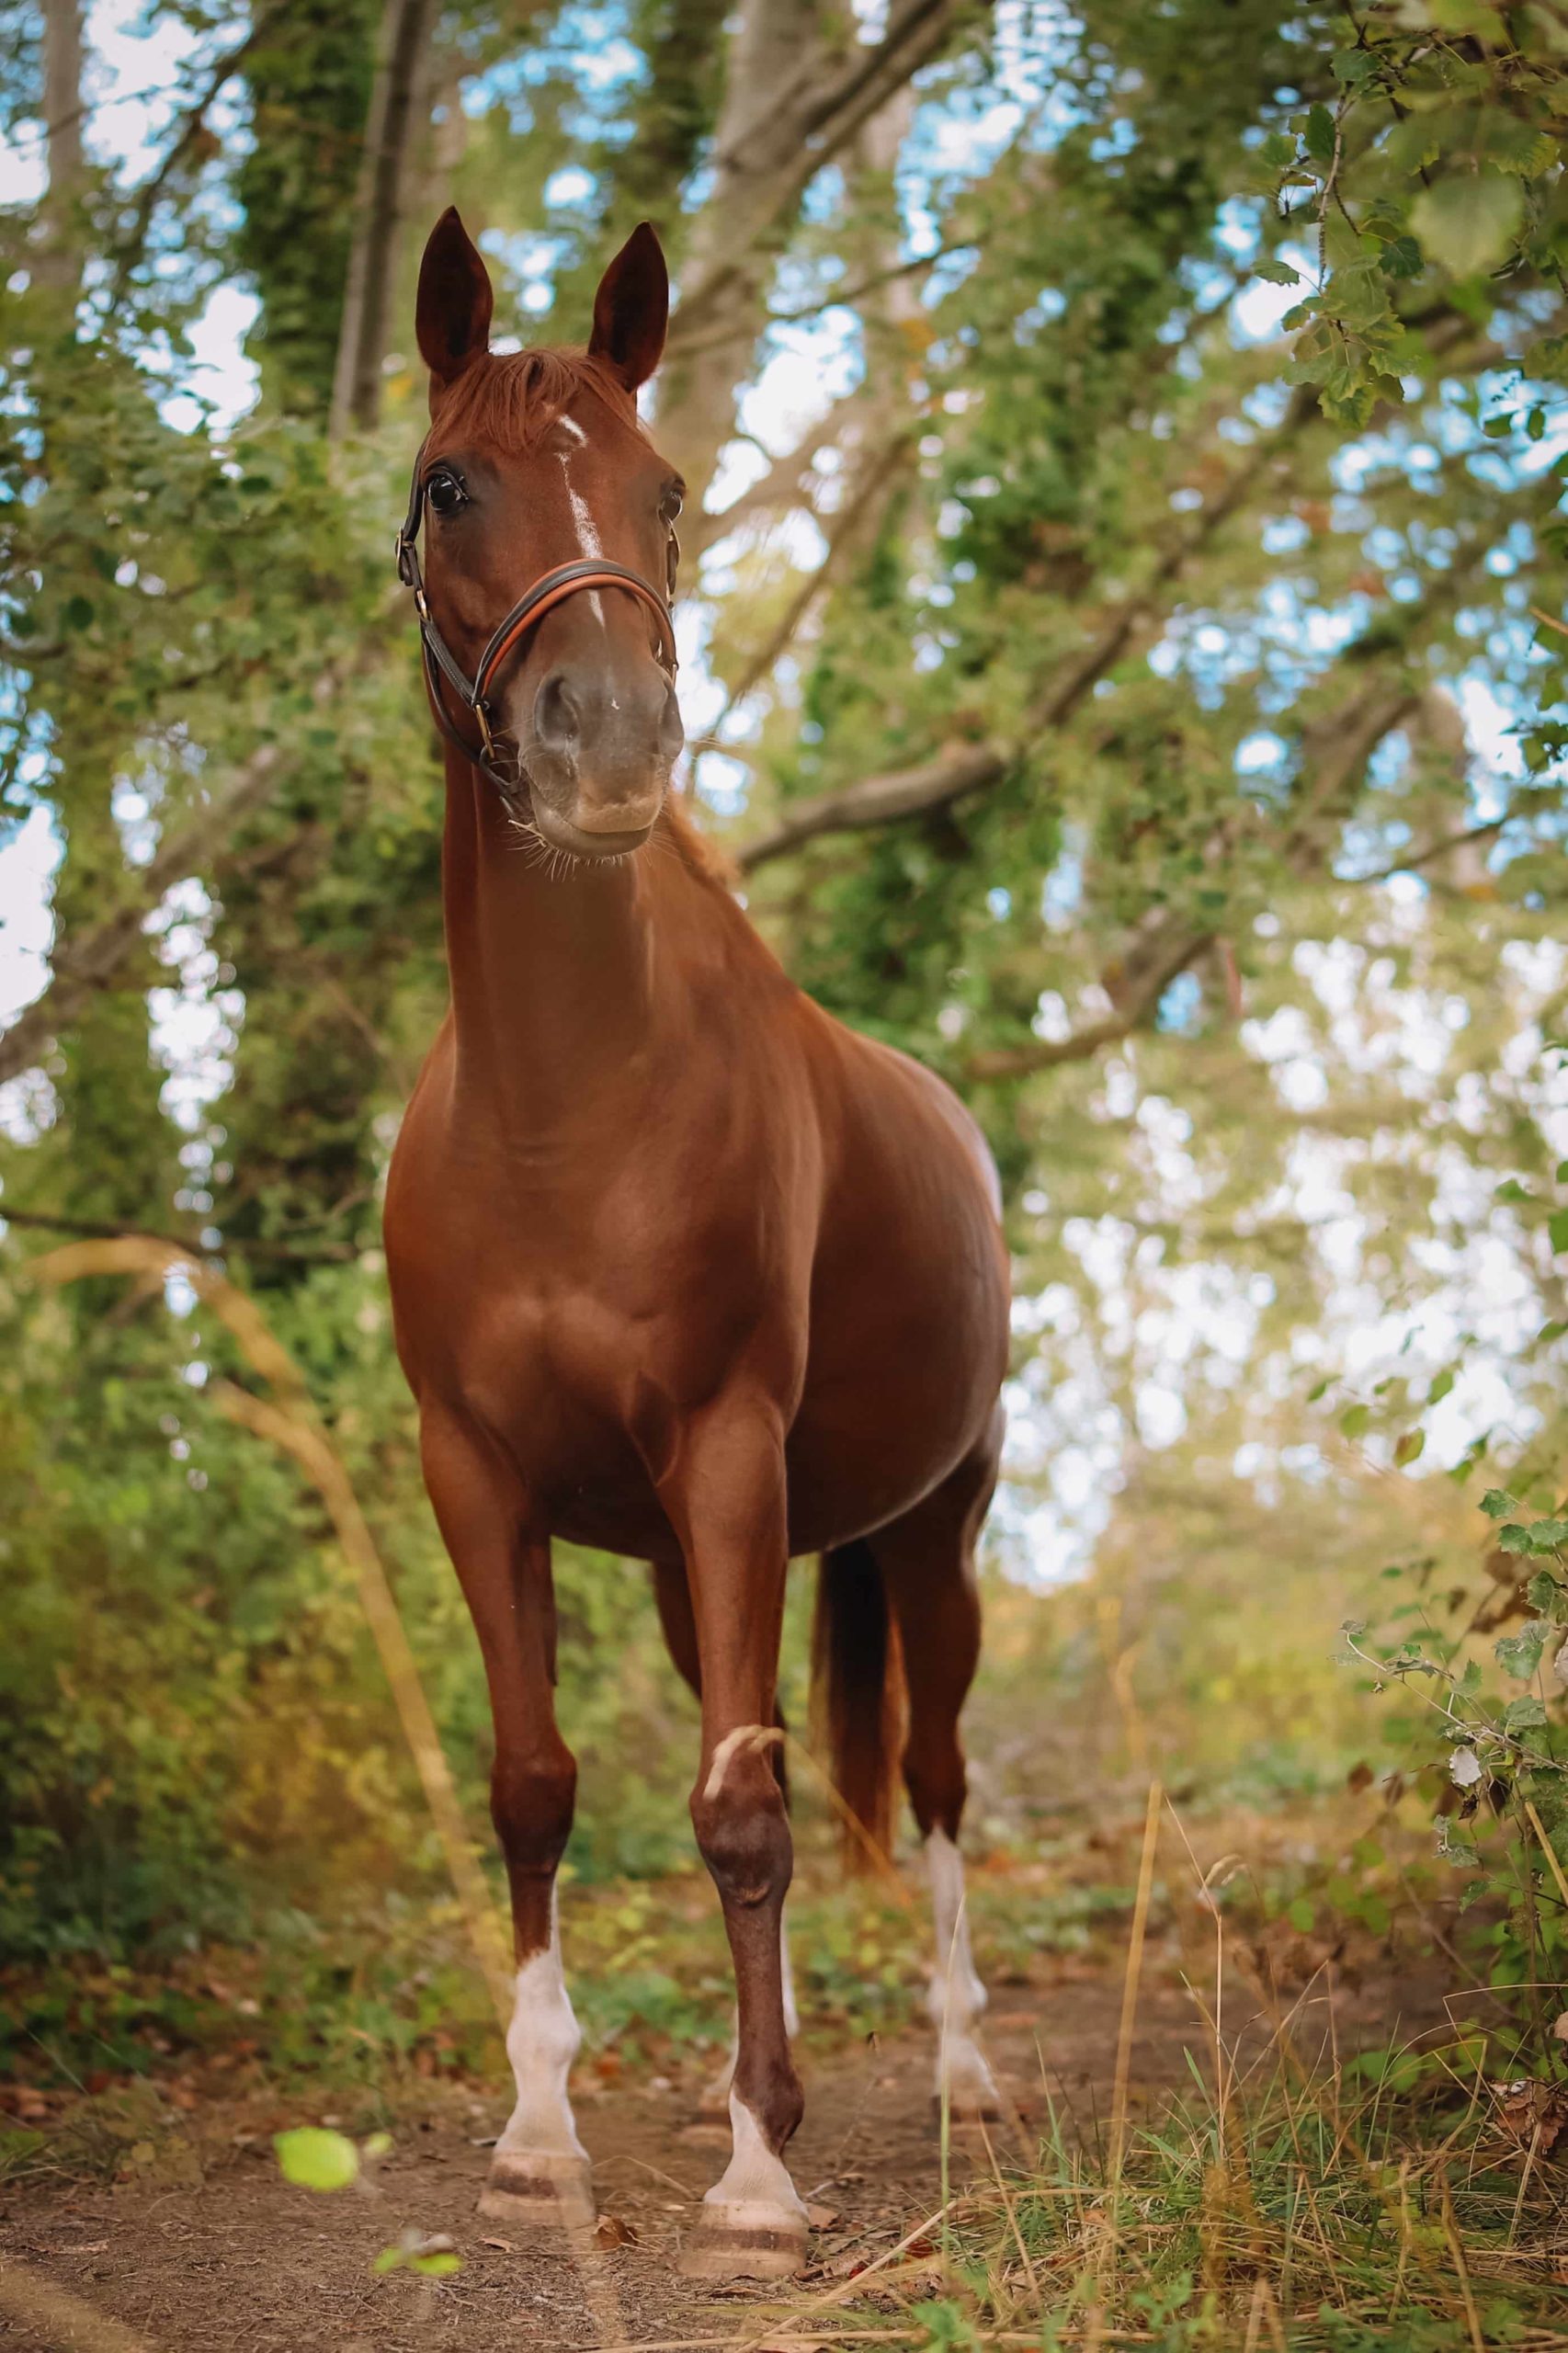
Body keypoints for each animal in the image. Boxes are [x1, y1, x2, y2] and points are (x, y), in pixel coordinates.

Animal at [383, 207, 1010, 2281]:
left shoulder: (734, 1451)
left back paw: (960, 2068)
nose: (607, 742)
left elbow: (743, 1817)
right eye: (451, 480)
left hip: (931, 1532)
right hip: (687, 1559)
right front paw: (540, 2134)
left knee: (929, 1775)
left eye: (661, 490)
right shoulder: (477, 1473)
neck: (564, 1113)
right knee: (773, 1760)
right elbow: (539, 1787)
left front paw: (754, 2178)